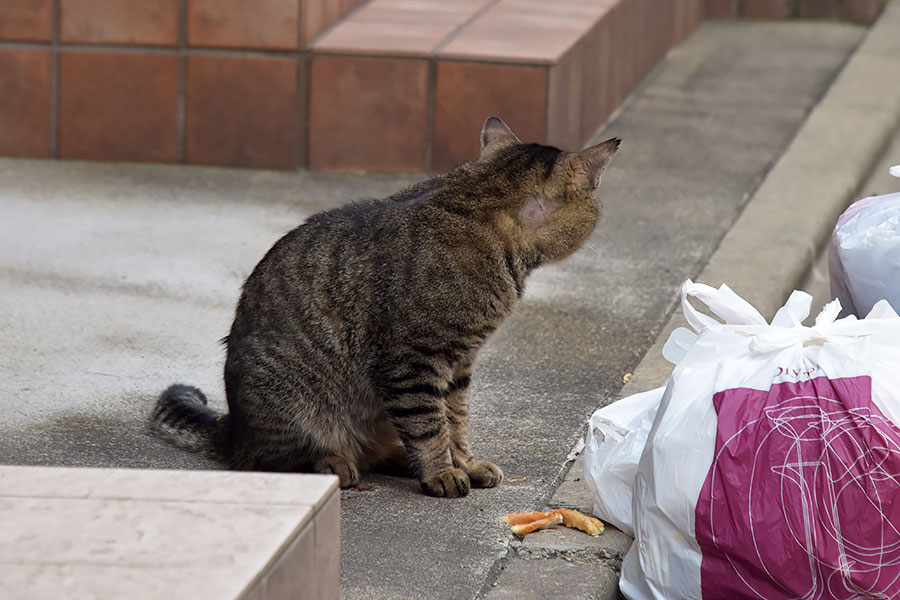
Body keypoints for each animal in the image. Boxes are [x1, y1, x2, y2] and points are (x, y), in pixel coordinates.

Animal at [153, 116, 620, 496]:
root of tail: (231, 427)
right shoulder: (411, 360)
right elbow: (429, 424)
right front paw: (442, 472)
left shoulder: (460, 363)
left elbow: (455, 420)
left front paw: (464, 462)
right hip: (290, 401)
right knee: (275, 460)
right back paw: (334, 463)